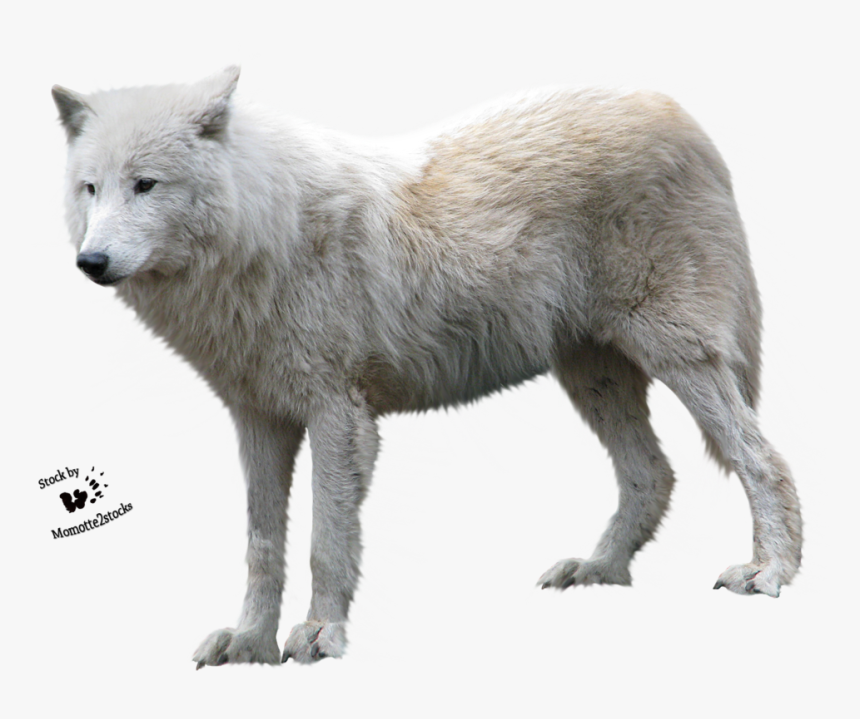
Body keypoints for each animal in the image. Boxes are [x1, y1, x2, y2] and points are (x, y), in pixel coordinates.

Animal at [53, 68, 802, 666]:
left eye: (146, 184)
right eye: (90, 188)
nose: (90, 263)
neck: (263, 234)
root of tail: (671, 107)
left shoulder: (336, 414)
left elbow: (326, 540)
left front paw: (320, 634)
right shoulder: (258, 419)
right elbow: (262, 547)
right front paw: (249, 644)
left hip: (677, 355)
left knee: (763, 460)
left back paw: (769, 572)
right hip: (590, 373)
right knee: (653, 472)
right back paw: (598, 568)